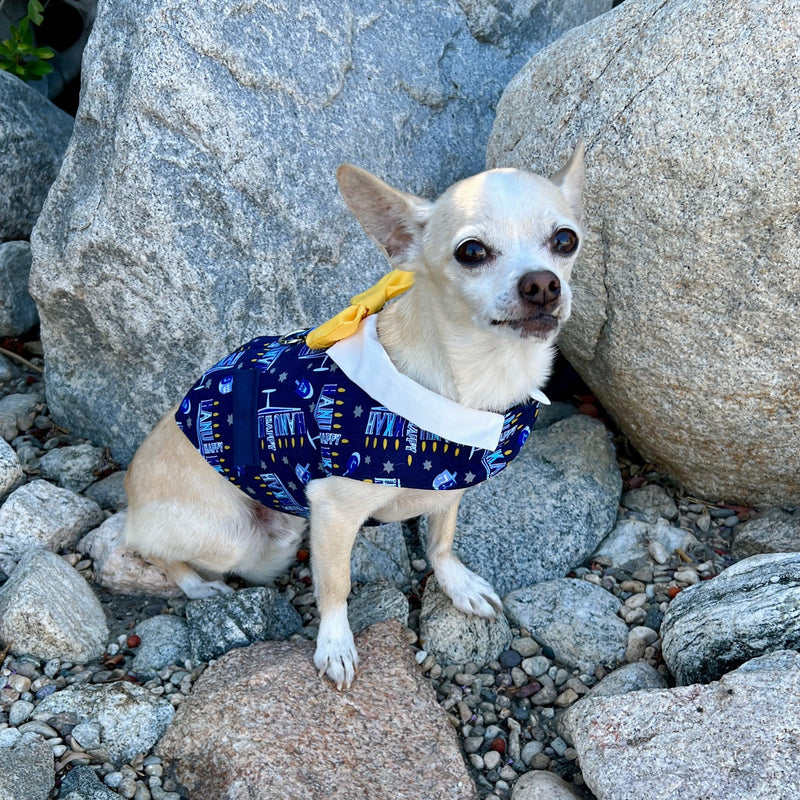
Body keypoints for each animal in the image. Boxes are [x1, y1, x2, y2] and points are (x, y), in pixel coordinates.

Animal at [126, 145, 588, 688]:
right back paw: (196, 587)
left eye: (565, 240)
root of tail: (129, 495)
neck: (479, 381)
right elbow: (335, 582)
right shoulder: (332, 511)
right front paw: (335, 643)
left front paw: (456, 584)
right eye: (471, 252)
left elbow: (441, 541)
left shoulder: (450, 488)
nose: (543, 284)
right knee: (148, 549)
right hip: (235, 539)